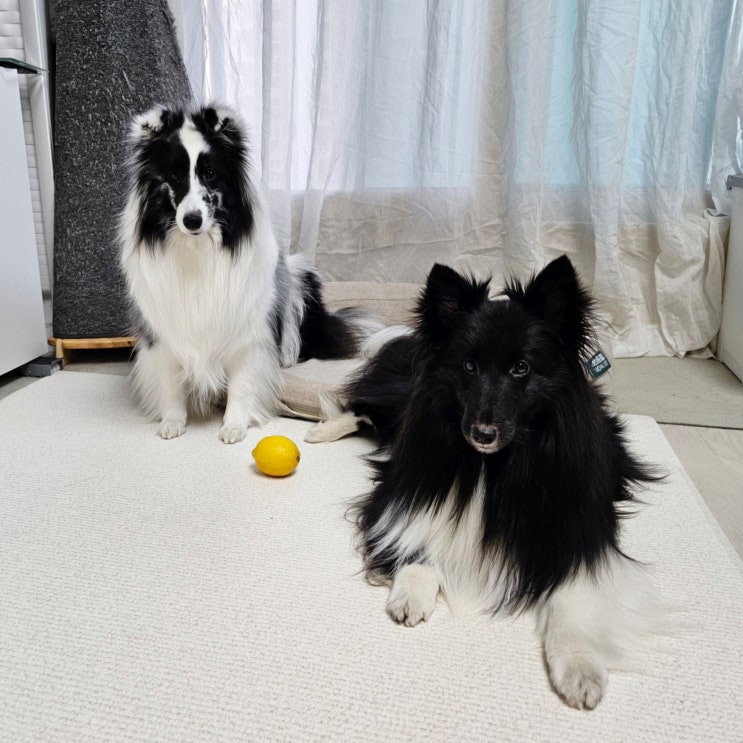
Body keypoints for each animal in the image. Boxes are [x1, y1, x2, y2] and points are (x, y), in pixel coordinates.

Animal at [118, 103, 376, 443]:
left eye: (210, 173)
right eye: (173, 175)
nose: (192, 220)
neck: (198, 249)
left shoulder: (248, 329)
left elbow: (242, 382)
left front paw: (234, 425)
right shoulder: (163, 330)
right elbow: (170, 381)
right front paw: (173, 421)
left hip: (296, 277)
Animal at [307, 256, 663, 709]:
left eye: (521, 368)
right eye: (469, 366)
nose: (482, 433)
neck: (491, 467)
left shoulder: (580, 529)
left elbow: (574, 596)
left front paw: (581, 672)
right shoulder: (400, 491)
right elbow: (418, 534)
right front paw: (412, 593)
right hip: (402, 408)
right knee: (362, 408)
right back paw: (321, 431)